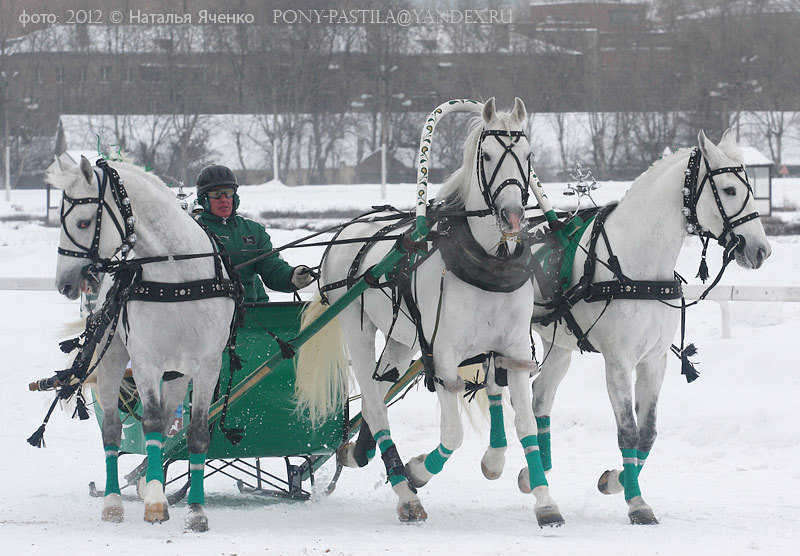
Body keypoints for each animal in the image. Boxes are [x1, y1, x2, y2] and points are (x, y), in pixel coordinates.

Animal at [48, 154, 234, 532]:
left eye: (84, 221)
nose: (64, 283)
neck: (178, 277)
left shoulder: (209, 364)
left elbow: (195, 432)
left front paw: (196, 511)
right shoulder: (147, 360)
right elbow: (149, 423)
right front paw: (154, 503)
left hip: (177, 374)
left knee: (167, 424)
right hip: (112, 362)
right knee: (112, 430)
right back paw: (113, 502)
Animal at [292, 99, 564, 524]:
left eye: (527, 155)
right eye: (486, 155)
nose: (513, 217)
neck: (490, 260)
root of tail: (346, 232)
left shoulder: (515, 350)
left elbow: (527, 427)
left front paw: (545, 502)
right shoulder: (445, 356)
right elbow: (452, 435)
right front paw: (418, 471)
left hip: (401, 340)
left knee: (379, 387)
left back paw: (358, 451)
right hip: (358, 327)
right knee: (374, 402)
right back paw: (404, 492)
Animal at [528, 130, 772, 524]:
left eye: (751, 187)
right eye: (730, 189)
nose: (762, 250)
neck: (635, 267)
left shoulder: (654, 360)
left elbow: (648, 432)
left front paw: (616, 481)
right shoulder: (618, 362)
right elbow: (628, 431)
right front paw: (637, 503)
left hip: (559, 346)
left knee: (540, 397)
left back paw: (532, 473)